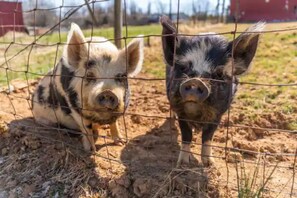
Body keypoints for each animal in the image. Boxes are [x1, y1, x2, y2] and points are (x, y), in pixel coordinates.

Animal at [31, 22, 143, 151]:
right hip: (43, 119)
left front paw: (121, 142)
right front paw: (91, 150)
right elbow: (86, 128)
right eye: (89, 75)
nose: (107, 92)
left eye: (121, 77)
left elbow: (114, 123)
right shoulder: (74, 108)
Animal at [160, 16, 264, 166]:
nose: (195, 81)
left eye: (219, 74)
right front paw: (183, 163)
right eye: (183, 68)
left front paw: (209, 164)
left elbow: (208, 136)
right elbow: (186, 135)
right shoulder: (182, 114)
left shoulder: (218, 115)